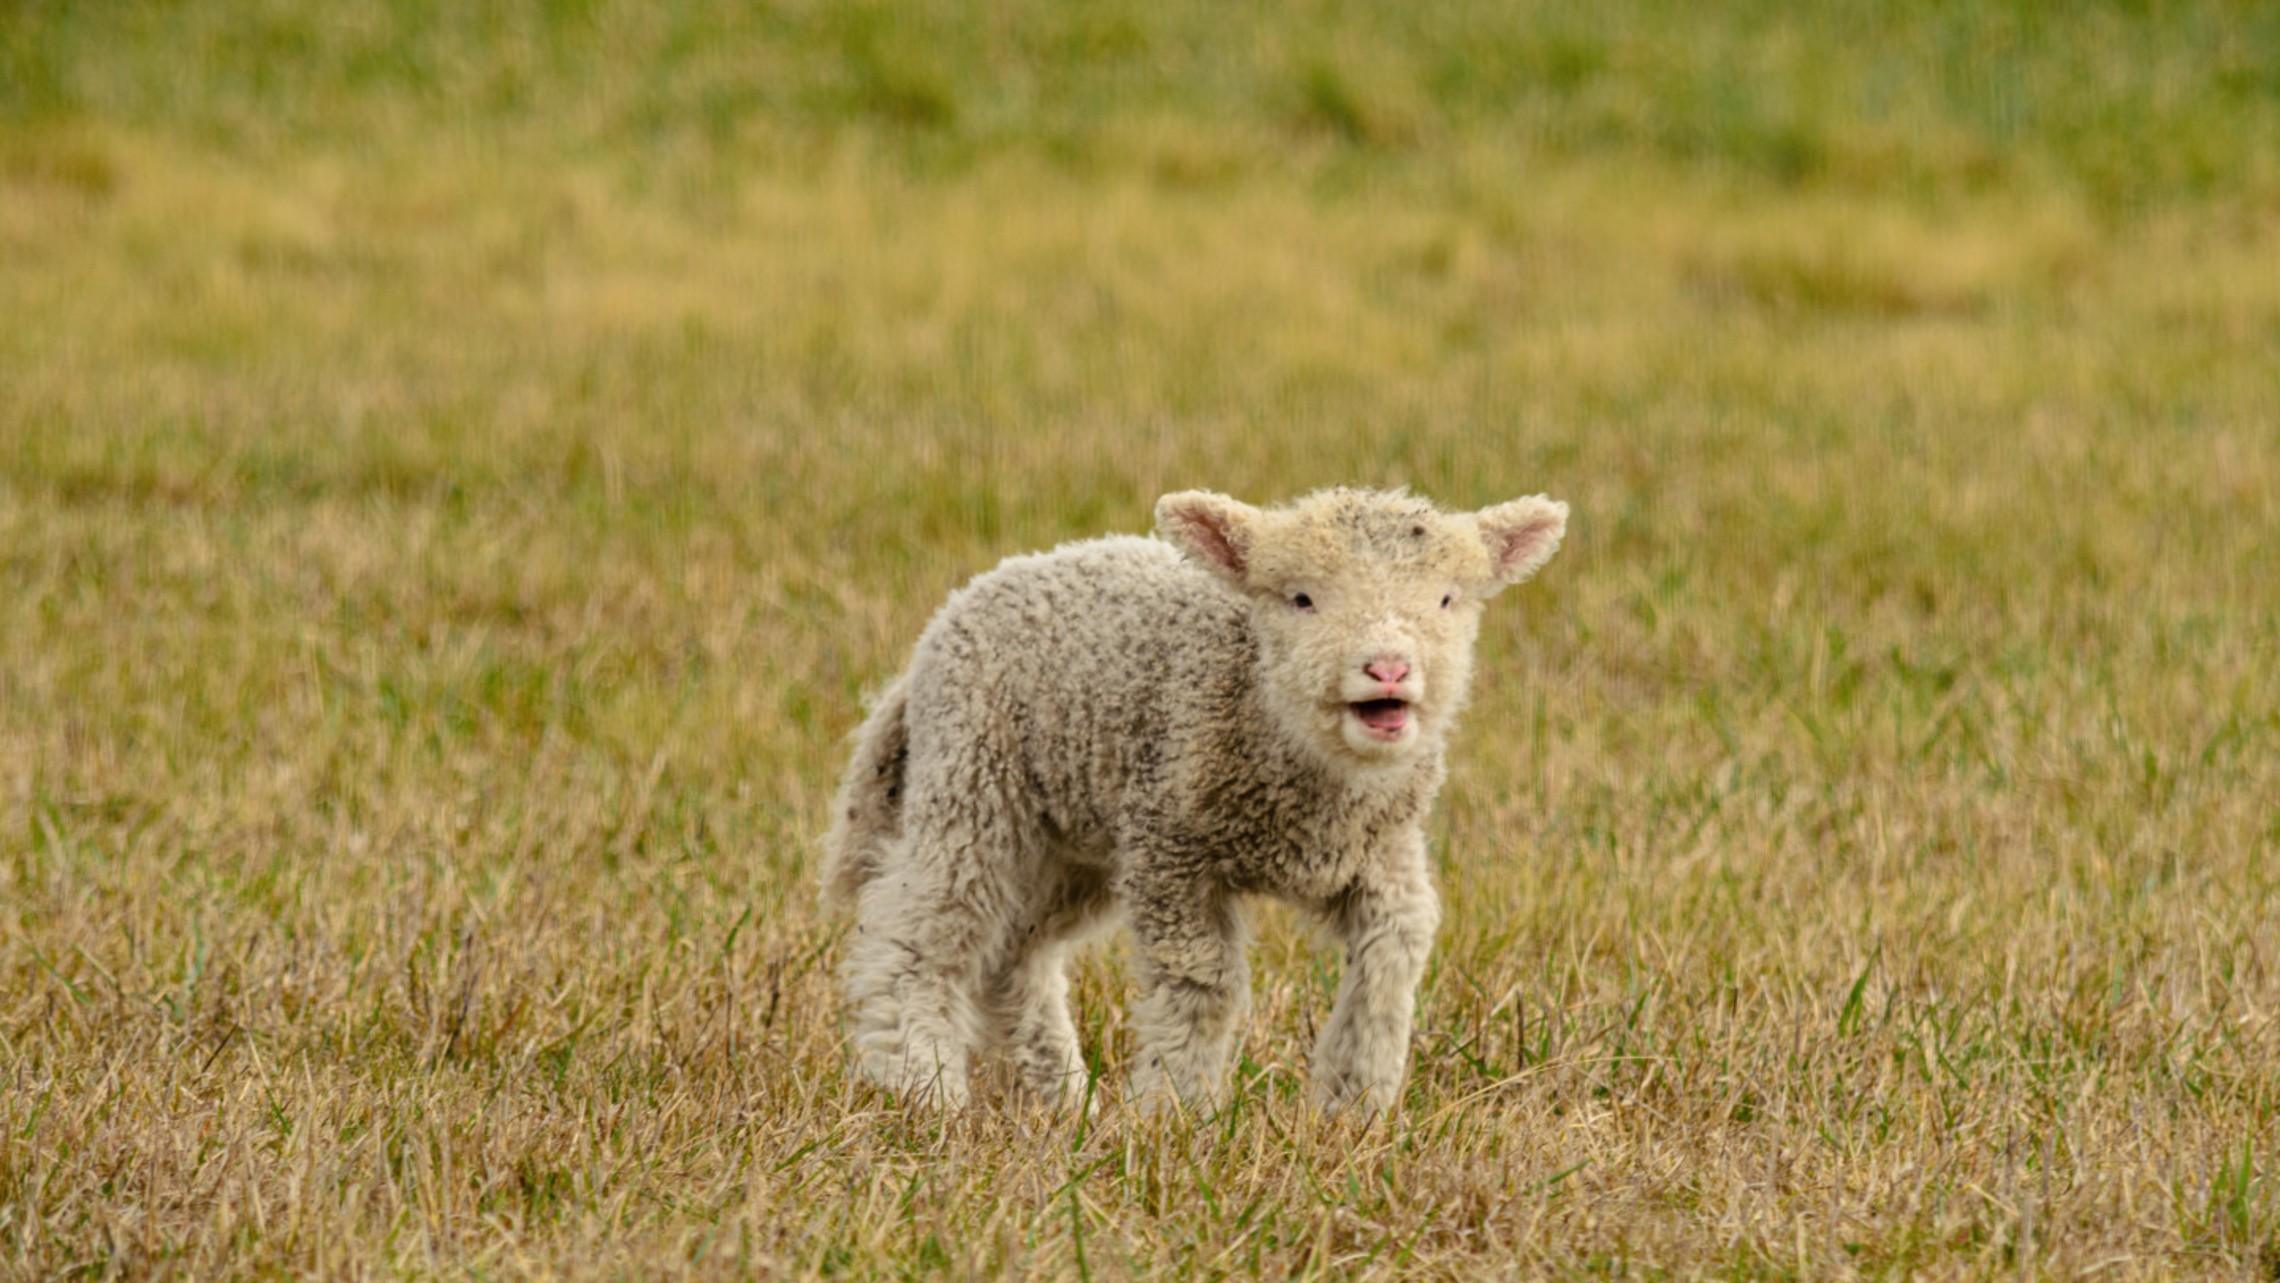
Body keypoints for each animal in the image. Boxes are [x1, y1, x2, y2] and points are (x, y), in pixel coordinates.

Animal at [819, 486, 1568, 1114]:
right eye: (1301, 599)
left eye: (1446, 600)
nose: (1387, 667)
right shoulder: (1169, 846)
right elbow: (1203, 982)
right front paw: (1177, 1108)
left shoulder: (1380, 852)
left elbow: (1395, 953)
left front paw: (1352, 1103)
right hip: (973, 778)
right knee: (920, 934)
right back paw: (924, 1087)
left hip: (1073, 846)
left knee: (1013, 957)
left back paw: (1062, 1099)